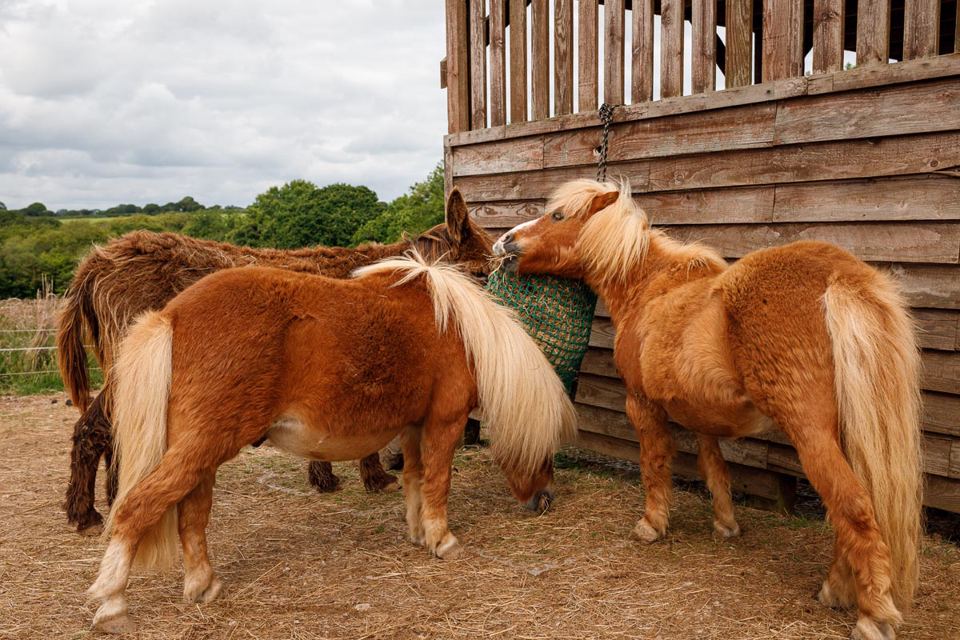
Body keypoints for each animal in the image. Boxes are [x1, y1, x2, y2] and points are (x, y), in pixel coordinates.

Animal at [58, 189, 493, 532]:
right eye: (481, 273)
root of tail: (97, 261)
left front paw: (330, 476)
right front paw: (373, 476)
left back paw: (107, 501)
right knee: (96, 428)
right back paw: (88, 513)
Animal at [87, 250, 576, 633]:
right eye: (545, 450)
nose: (545, 500)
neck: (458, 330)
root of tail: (171, 316)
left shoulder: (414, 426)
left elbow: (415, 479)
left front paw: (419, 533)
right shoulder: (443, 422)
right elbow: (438, 481)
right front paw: (442, 540)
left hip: (203, 453)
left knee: (192, 517)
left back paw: (202, 585)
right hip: (202, 447)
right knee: (135, 510)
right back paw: (112, 605)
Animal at [492, 179, 922, 640]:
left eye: (557, 216)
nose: (505, 241)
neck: (649, 289)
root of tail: (841, 277)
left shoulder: (642, 406)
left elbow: (654, 464)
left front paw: (652, 525)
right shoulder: (701, 415)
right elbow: (715, 468)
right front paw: (726, 524)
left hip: (812, 436)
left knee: (854, 507)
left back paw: (870, 613)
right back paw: (837, 588)